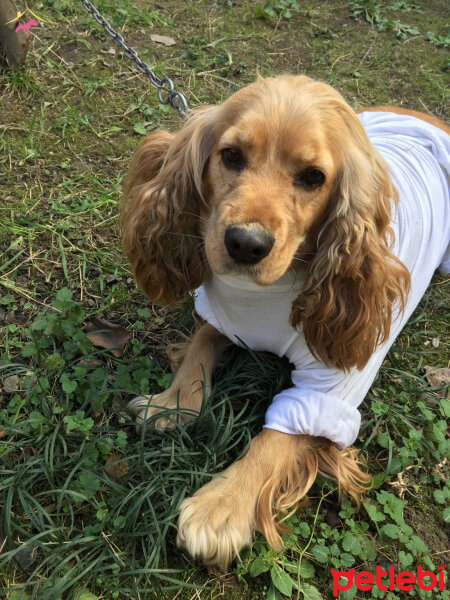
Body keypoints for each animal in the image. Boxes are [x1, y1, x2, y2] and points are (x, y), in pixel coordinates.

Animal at [120, 76, 450, 572]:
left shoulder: (328, 392)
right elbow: (199, 346)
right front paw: (173, 402)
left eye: (313, 177)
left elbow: (272, 442)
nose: (245, 243)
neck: (272, 292)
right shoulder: (224, 316)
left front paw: (221, 506)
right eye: (231, 155)